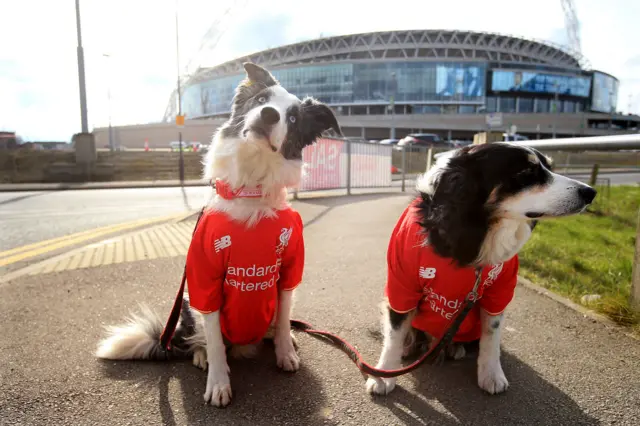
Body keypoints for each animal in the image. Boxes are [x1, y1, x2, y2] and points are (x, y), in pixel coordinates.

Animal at [94, 61, 340, 408]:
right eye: (261, 99)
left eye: (293, 118)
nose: (269, 115)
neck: (252, 188)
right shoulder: (205, 278)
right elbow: (213, 339)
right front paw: (219, 382)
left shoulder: (289, 270)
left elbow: (282, 318)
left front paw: (284, 351)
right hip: (187, 302)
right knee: (201, 340)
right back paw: (201, 355)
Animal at [368, 143, 596, 396]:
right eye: (527, 172)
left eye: (549, 167)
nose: (590, 193)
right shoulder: (401, 284)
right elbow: (394, 334)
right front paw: (384, 374)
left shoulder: (499, 291)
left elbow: (491, 336)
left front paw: (491, 375)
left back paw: (454, 348)